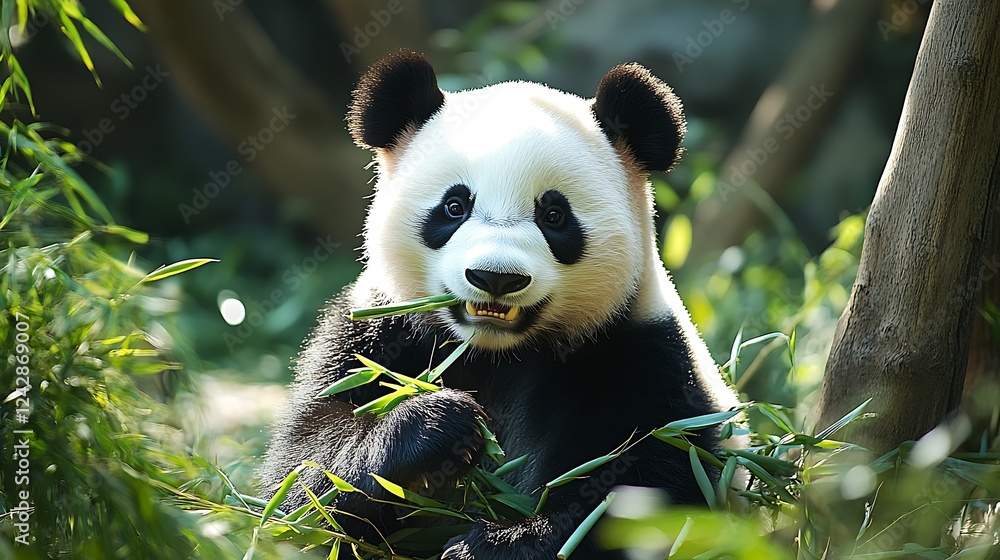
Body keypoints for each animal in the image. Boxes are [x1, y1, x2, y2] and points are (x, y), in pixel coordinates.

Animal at [258, 51, 739, 559]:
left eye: (554, 216)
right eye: (454, 206)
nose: (496, 278)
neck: (496, 353)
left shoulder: (640, 352)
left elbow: (645, 487)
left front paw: (489, 544)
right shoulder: (376, 331)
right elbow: (304, 475)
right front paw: (436, 426)